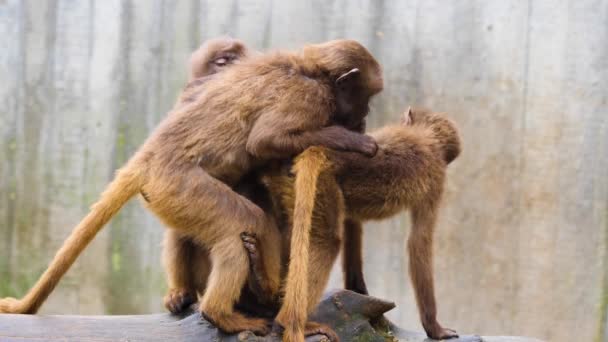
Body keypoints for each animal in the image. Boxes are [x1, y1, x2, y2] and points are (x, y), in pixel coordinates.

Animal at [0, 38, 382, 336]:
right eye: (367, 99)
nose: (364, 117)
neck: (311, 70)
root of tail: (148, 156)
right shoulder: (309, 98)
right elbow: (265, 140)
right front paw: (353, 141)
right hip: (176, 186)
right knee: (243, 223)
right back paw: (225, 311)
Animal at [243, 107, 460, 342]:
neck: (426, 136)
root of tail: (321, 150)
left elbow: (352, 224)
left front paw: (358, 290)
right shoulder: (437, 176)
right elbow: (419, 241)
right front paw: (435, 328)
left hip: (288, 182)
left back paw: (262, 283)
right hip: (322, 181)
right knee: (327, 242)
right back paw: (287, 319)